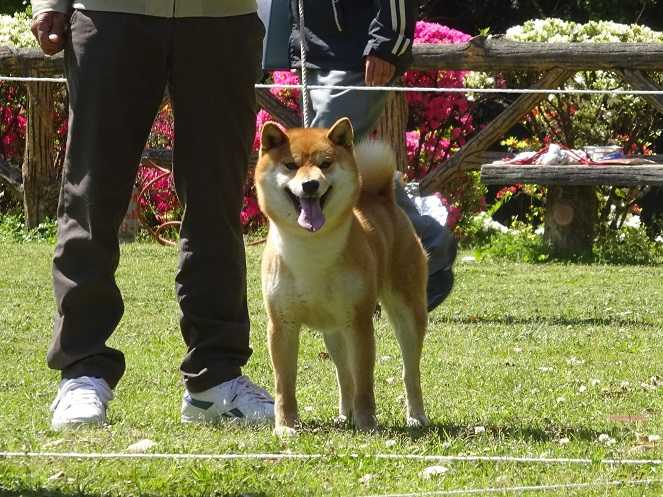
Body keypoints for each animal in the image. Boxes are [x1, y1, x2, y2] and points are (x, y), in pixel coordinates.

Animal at [255, 118, 429, 436]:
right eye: (290, 165)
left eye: (325, 164)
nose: (310, 184)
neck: (311, 250)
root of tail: (381, 198)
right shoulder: (282, 325)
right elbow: (285, 385)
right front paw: (286, 426)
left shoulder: (359, 323)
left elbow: (365, 382)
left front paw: (367, 422)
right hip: (333, 331)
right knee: (343, 374)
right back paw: (343, 415)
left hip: (408, 314)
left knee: (410, 371)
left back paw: (416, 415)